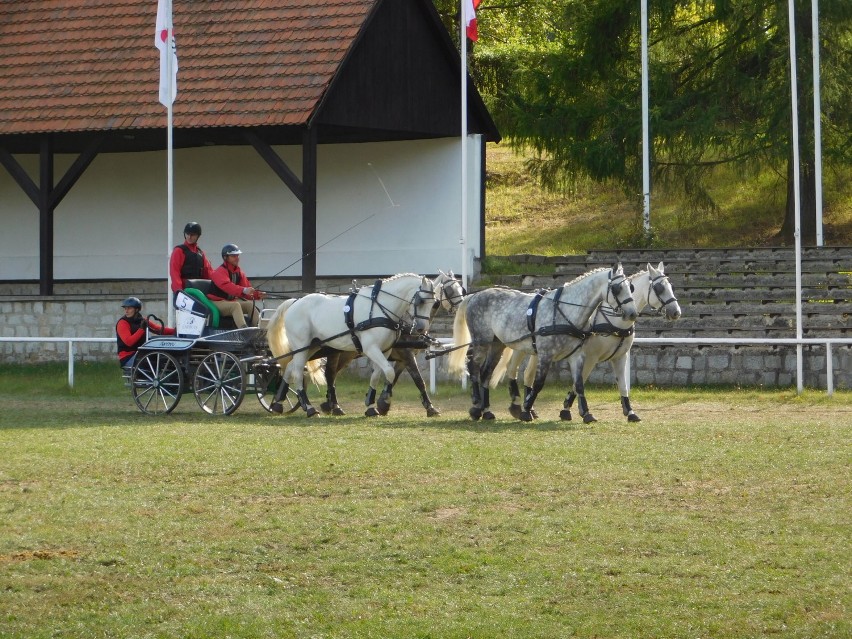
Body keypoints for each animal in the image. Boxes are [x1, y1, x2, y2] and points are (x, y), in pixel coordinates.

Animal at [264, 274, 440, 416]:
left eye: (435, 303)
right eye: (421, 301)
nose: (421, 328)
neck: (380, 309)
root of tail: (295, 301)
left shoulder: (385, 350)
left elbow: (377, 375)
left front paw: (371, 406)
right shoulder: (372, 349)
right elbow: (391, 374)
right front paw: (384, 403)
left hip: (313, 347)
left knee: (291, 367)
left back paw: (278, 404)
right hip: (302, 346)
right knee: (299, 373)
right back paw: (309, 408)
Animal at [450, 262, 636, 422]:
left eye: (631, 287)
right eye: (617, 288)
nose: (632, 313)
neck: (566, 311)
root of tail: (475, 295)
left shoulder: (577, 355)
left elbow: (579, 384)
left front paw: (586, 413)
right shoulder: (546, 354)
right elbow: (538, 384)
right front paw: (526, 409)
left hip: (497, 344)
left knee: (486, 373)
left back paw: (486, 410)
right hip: (482, 341)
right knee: (473, 367)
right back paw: (476, 406)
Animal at [492, 262, 680, 422]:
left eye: (670, 286)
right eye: (659, 287)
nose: (676, 312)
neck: (613, 321)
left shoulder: (620, 356)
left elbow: (622, 385)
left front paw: (630, 412)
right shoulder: (590, 357)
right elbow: (579, 382)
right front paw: (567, 410)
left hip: (537, 352)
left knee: (528, 375)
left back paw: (529, 408)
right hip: (521, 348)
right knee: (514, 371)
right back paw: (519, 407)